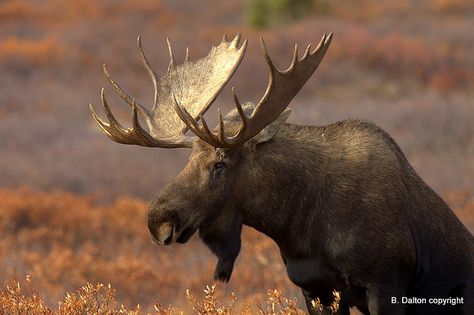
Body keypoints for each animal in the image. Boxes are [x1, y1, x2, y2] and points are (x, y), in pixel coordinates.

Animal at [90, 33, 474, 314]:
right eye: (187, 161)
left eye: (220, 164)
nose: (157, 220)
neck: (296, 225)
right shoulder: (314, 289)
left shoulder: (386, 283)